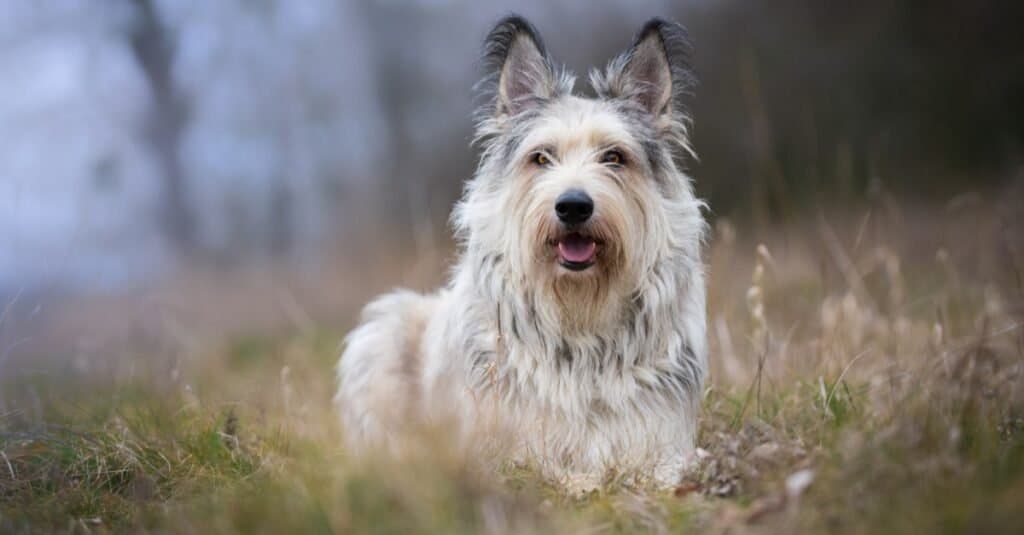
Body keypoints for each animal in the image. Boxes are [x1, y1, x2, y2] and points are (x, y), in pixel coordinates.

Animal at [335, 13, 704, 491]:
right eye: (541, 157)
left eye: (614, 157)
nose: (573, 206)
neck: (579, 314)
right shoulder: (504, 447)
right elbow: (549, 472)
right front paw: (583, 482)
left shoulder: (660, 439)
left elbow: (665, 468)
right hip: (384, 329)